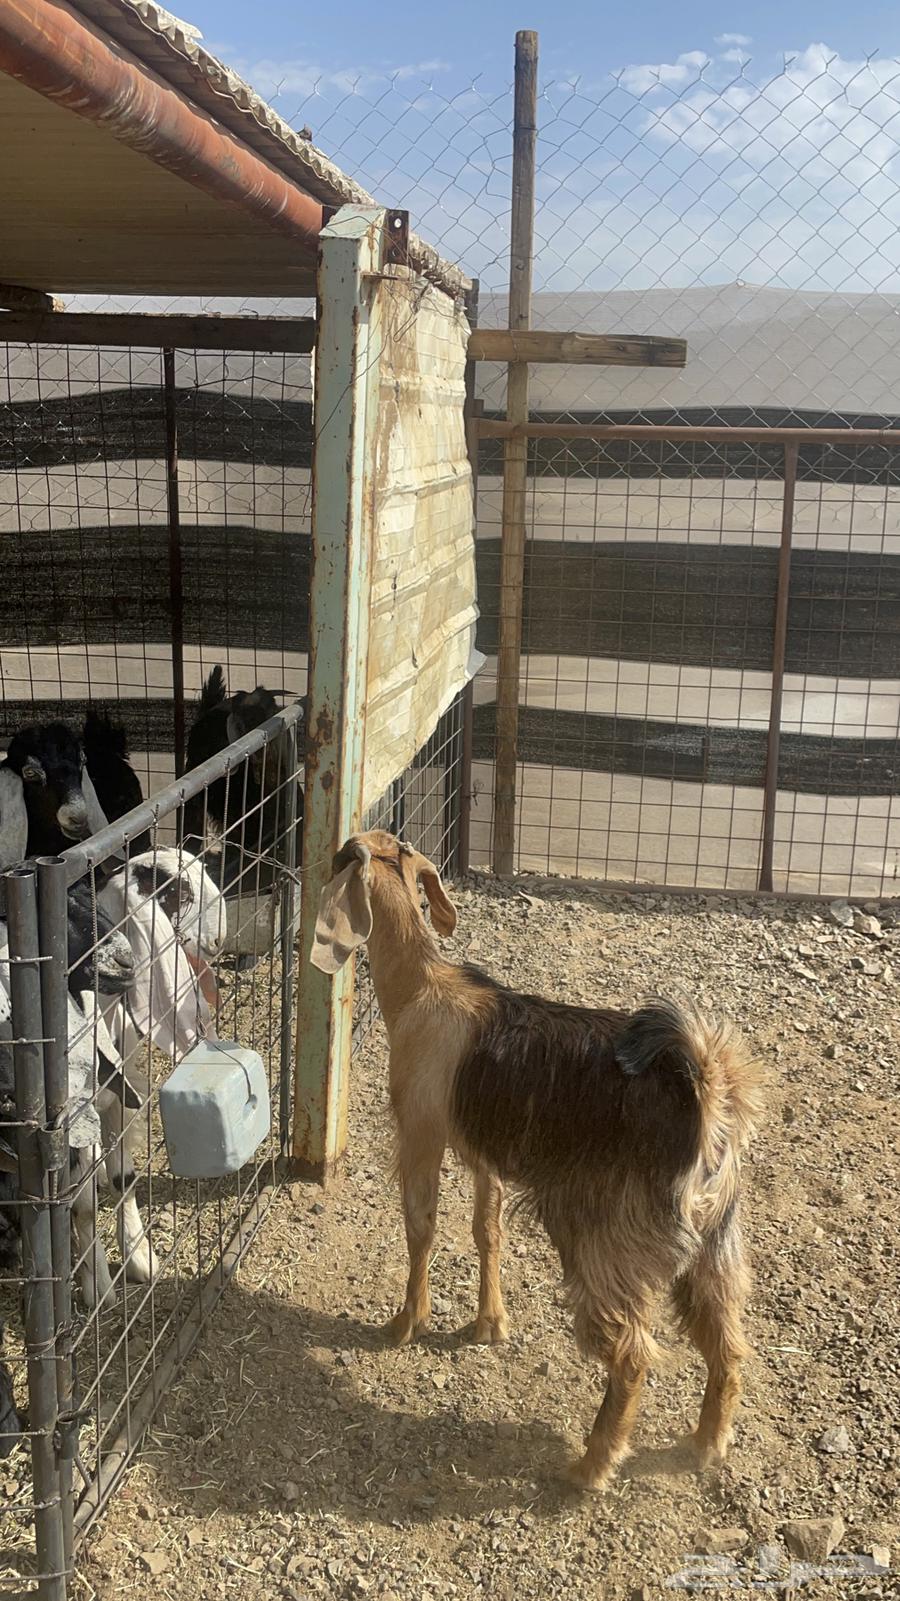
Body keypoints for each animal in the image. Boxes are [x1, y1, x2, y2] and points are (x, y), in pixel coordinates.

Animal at [311, 831, 763, 1492]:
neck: (424, 985)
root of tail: (703, 1096)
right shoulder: (485, 1155)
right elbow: (486, 1229)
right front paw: (489, 1324)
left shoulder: (422, 1136)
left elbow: (421, 1229)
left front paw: (406, 1322)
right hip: (714, 1246)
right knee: (727, 1345)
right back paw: (708, 1444)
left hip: (603, 1243)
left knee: (632, 1356)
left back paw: (593, 1464)